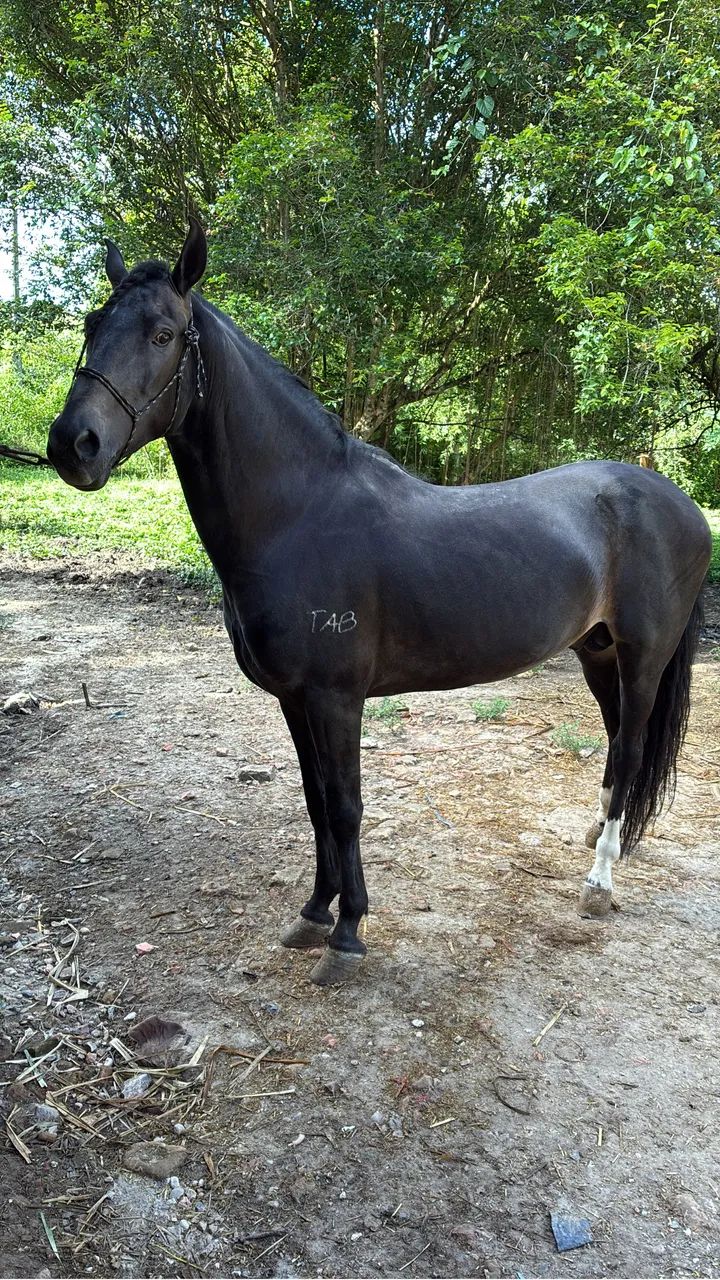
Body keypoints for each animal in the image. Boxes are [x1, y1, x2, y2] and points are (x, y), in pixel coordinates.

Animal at [47, 220, 712, 985]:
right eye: (93, 325)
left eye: (162, 334)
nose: (73, 444)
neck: (299, 514)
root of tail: (682, 505)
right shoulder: (294, 698)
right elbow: (313, 803)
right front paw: (313, 914)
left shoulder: (336, 696)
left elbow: (344, 808)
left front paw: (347, 933)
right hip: (597, 653)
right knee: (614, 749)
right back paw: (601, 838)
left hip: (642, 657)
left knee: (630, 751)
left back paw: (598, 883)